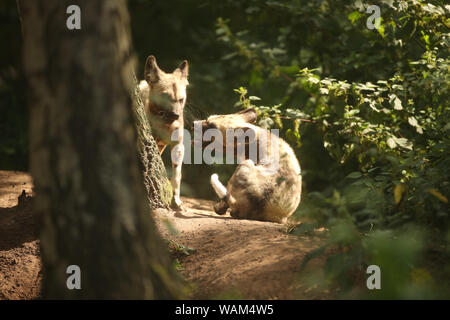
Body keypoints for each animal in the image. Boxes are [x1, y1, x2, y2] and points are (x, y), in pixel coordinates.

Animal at [141, 56, 190, 209]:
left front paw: (176, 199)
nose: (176, 115)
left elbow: (177, 176)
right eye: (166, 97)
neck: (165, 124)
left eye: (181, 100)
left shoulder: (178, 146)